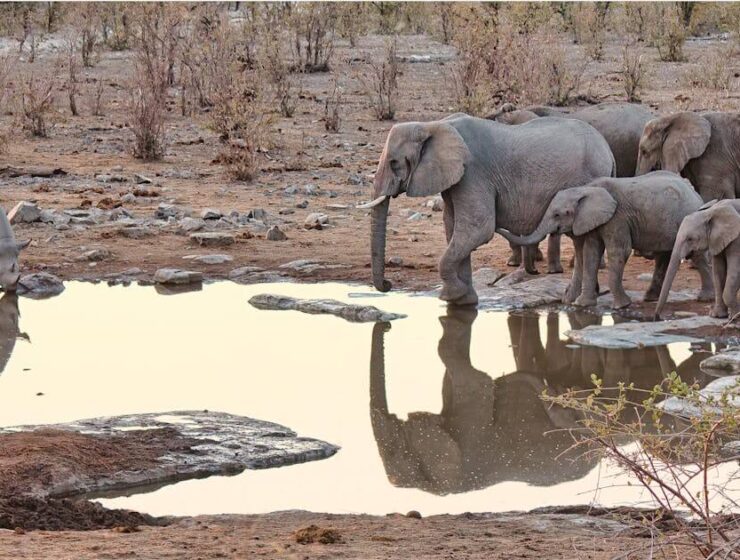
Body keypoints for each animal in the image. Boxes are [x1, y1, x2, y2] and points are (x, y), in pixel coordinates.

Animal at [365, 115, 615, 305]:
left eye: (394, 163)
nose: (388, 284)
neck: (434, 125)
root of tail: (608, 150)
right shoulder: (456, 178)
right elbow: (453, 227)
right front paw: (464, 301)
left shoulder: (473, 173)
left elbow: (477, 229)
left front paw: (451, 296)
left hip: (587, 180)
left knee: (581, 240)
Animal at [497, 171, 714, 309]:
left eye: (558, 214)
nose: (534, 272)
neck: (585, 189)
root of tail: (694, 191)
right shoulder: (594, 221)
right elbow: (591, 252)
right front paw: (581, 304)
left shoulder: (617, 218)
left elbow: (619, 252)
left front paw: (622, 306)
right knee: (664, 256)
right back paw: (650, 298)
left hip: (688, 217)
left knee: (696, 255)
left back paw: (704, 299)